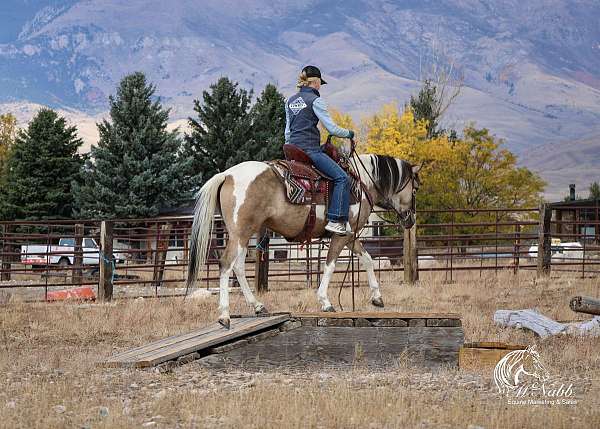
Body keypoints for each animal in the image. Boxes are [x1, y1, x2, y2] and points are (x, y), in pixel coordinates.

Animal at [185, 154, 420, 328]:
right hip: (241, 233)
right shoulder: (342, 235)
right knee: (226, 264)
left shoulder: (350, 236)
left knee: (239, 267)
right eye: (415, 189)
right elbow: (330, 264)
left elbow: (368, 259)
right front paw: (325, 302)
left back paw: (258, 306)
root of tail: (227, 175)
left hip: (244, 234)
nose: (411, 220)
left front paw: (377, 297)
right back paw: (225, 315)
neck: (361, 182)